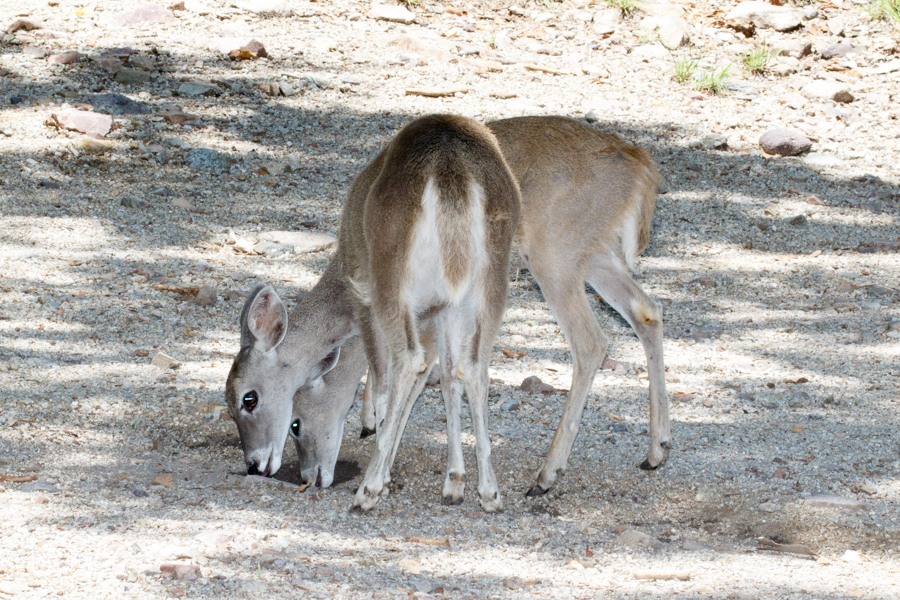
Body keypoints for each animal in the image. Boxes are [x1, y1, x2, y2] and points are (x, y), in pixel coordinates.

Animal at [225, 115, 672, 500]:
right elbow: (443, 376)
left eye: (250, 399)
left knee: (590, 342)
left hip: (554, 253)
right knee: (647, 311)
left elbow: (395, 374)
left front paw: (382, 450)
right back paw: (656, 449)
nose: (256, 465)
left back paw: (545, 474)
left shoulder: (372, 293)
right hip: (589, 253)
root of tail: (642, 167)